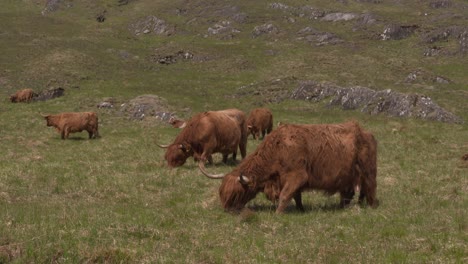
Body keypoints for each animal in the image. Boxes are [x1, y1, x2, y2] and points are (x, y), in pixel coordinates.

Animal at [203, 120, 378, 213]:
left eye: (236, 194)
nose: (227, 210)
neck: (277, 148)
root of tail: (365, 132)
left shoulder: (297, 176)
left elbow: (285, 195)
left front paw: (278, 213)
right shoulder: (292, 181)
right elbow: (296, 196)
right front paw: (301, 210)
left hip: (368, 172)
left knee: (369, 189)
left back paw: (370, 207)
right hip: (349, 177)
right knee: (351, 193)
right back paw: (344, 206)